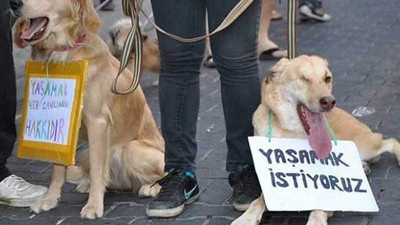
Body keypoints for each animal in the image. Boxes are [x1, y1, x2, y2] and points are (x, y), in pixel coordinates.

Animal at [10, 0, 165, 219]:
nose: (13, 4)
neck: (64, 52)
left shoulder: (97, 121)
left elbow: (99, 171)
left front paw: (94, 206)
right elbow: (57, 171)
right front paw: (50, 200)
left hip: (131, 149)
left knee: (163, 173)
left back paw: (150, 187)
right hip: (85, 153)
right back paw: (87, 184)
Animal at [231, 55, 400, 225]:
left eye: (327, 78)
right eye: (304, 78)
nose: (329, 102)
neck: (292, 133)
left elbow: (319, 207)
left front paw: (316, 220)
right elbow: (258, 200)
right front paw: (247, 217)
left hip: (365, 146)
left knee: (390, 141)